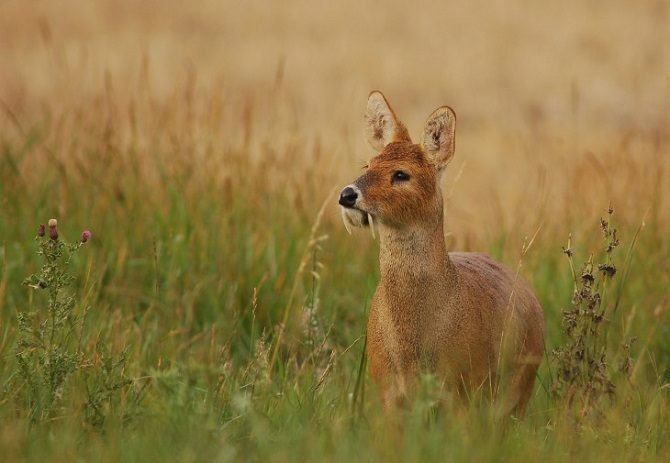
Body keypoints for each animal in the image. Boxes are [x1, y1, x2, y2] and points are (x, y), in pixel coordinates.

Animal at [342, 91, 544, 416]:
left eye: (401, 174)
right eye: (367, 166)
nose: (347, 195)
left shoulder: (461, 386)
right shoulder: (384, 387)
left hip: (519, 387)